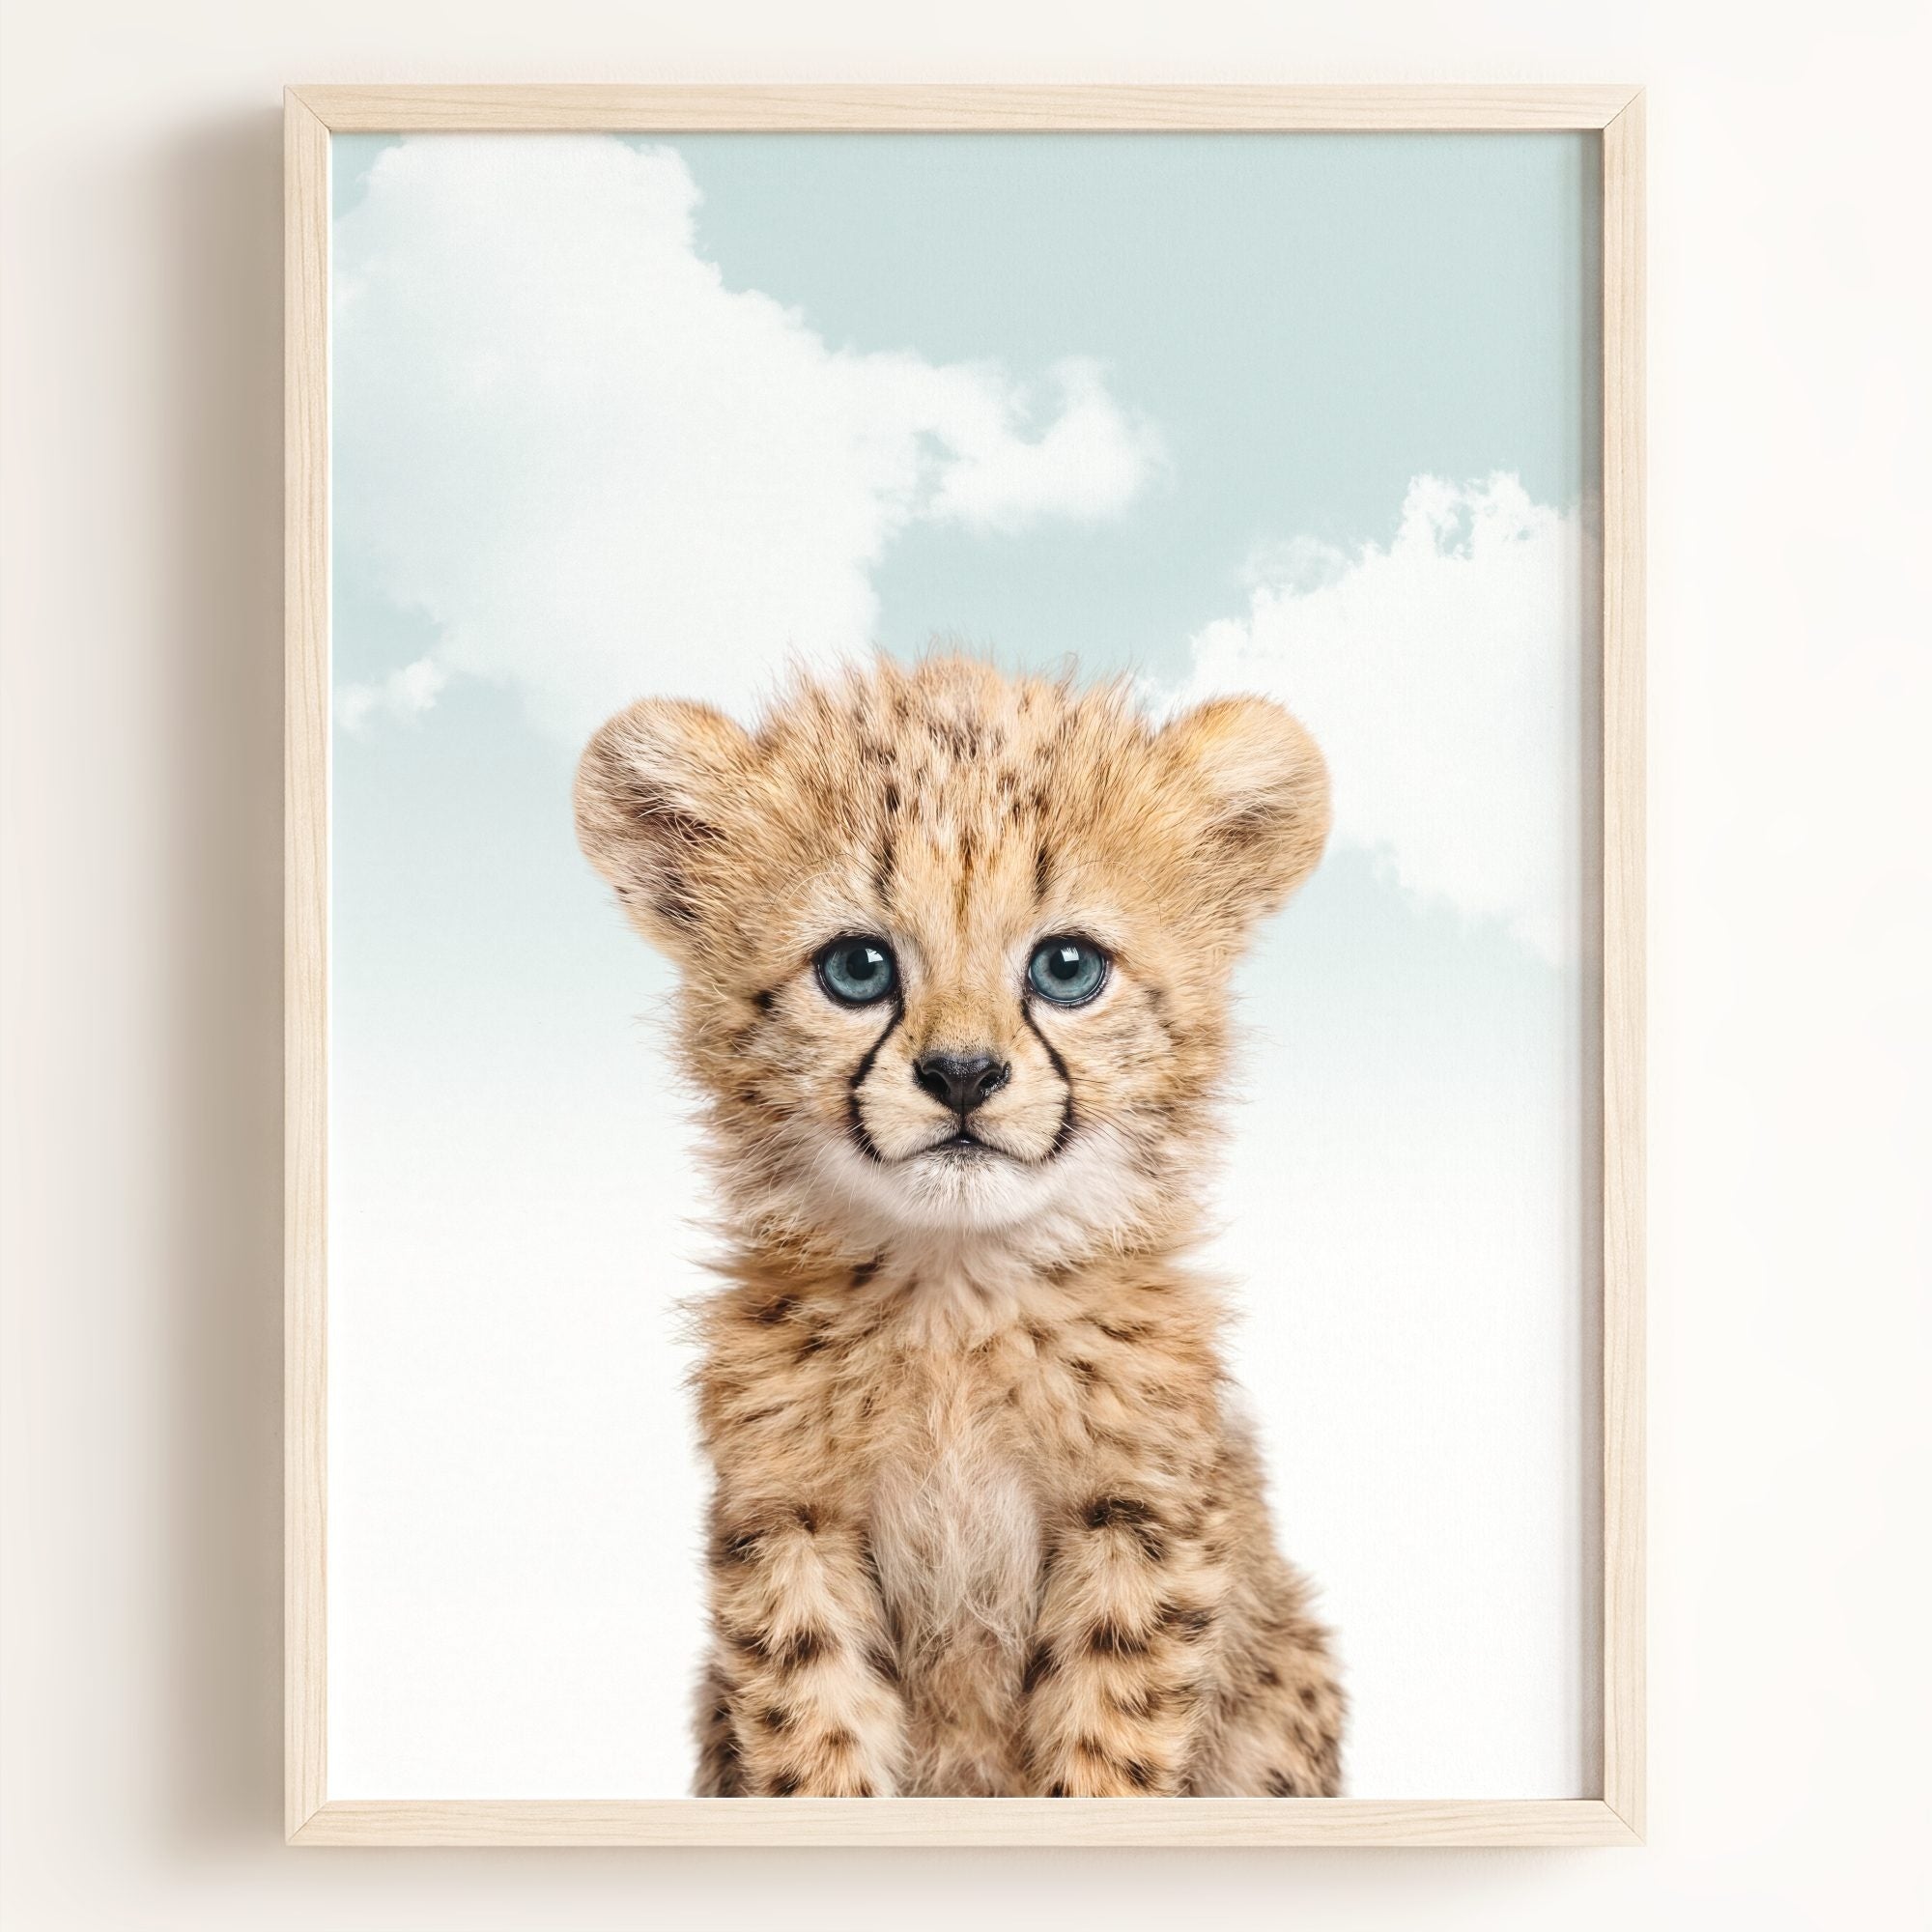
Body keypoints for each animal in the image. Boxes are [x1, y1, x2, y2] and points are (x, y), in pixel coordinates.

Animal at [575, 652, 1344, 1798]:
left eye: (1067, 967)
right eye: (857, 967)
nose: (963, 1075)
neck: (956, 1293)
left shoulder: (1137, 1516)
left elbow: (1108, 1741)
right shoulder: (791, 1521)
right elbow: (813, 1733)